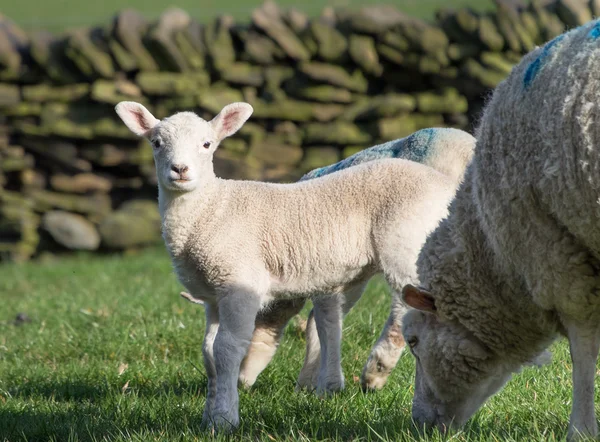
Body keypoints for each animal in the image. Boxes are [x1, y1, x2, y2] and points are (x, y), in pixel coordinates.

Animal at [396, 18, 600, 442]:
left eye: (413, 342)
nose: (419, 424)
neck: (492, 253)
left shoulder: (557, 256)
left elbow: (584, 348)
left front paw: (581, 428)